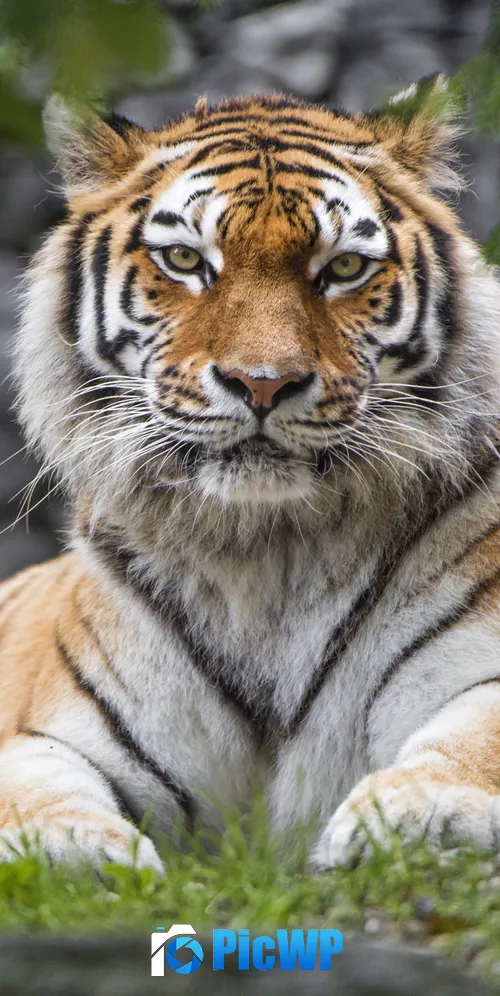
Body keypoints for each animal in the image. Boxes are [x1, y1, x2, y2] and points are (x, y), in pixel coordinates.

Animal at [2, 78, 500, 872]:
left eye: (344, 268)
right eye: (184, 259)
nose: (263, 383)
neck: (264, 553)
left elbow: (476, 744)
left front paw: (423, 812)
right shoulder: (53, 732)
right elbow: (35, 787)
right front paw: (70, 850)